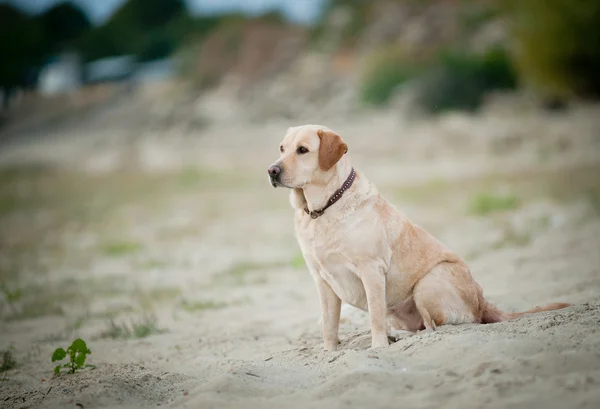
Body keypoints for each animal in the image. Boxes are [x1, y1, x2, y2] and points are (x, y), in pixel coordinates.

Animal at [268, 122, 572, 350]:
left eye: (303, 150)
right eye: (282, 148)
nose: (272, 170)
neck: (323, 208)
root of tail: (482, 301)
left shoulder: (371, 270)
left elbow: (375, 316)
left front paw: (378, 347)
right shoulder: (322, 281)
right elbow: (328, 325)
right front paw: (330, 352)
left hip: (427, 285)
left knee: (435, 327)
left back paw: (397, 338)